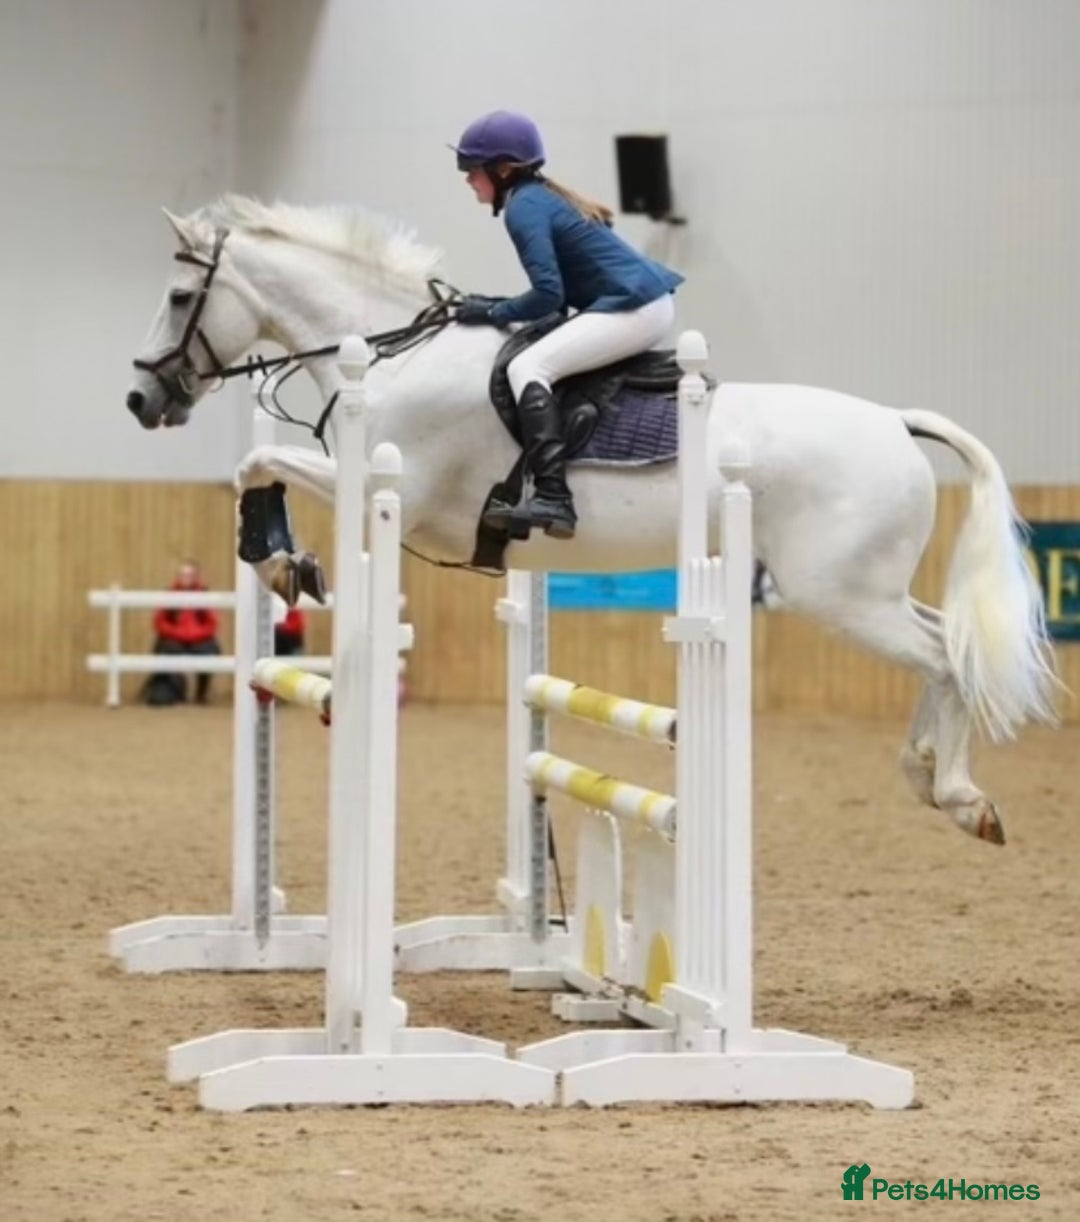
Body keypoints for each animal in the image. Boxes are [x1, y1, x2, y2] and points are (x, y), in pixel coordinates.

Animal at [125, 195, 1059, 845]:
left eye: (179, 294)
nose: (140, 400)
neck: (394, 354)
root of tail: (896, 421)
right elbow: (255, 469)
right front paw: (286, 561)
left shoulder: (394, 492)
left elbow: (258, 466)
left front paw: (283, 562)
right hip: (866, 590)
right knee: (945, 640)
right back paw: (926, 773)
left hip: (837, 594)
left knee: (946, 658)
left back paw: (960, 797)